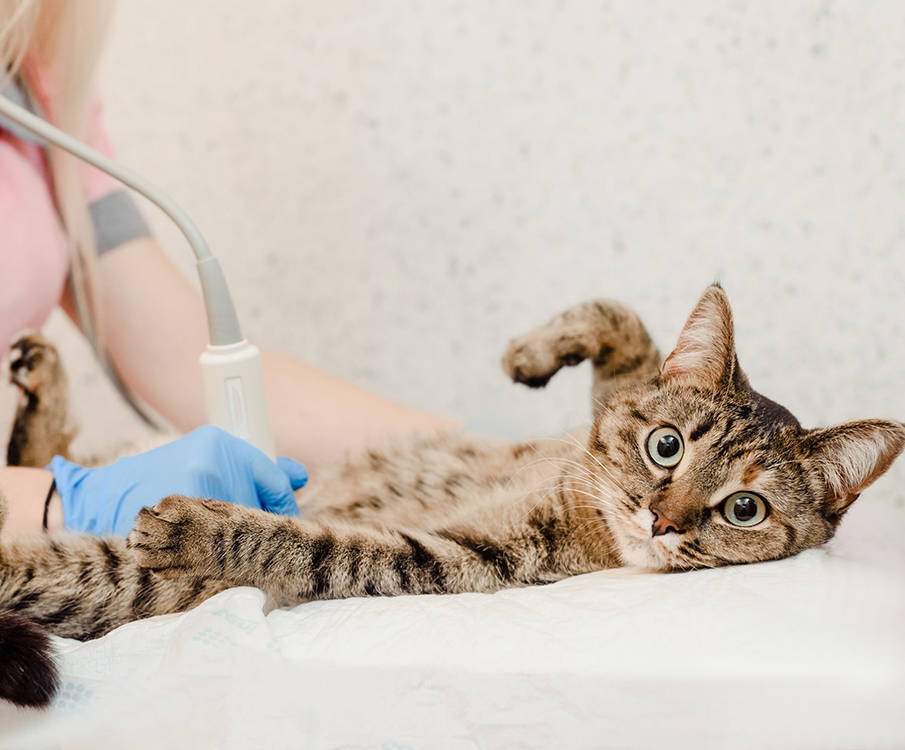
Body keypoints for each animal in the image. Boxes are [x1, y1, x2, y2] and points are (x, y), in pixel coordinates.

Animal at [1, 284, 904, 712]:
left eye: (743, 511)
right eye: (666, 446)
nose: (660, 518)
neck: (585, 509)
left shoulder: (454, 560)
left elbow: (313, 543)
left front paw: (206, 523)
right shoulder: (600, 423)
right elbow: (627, 330)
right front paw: (536, 350)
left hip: (129, 581)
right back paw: (42, 382)